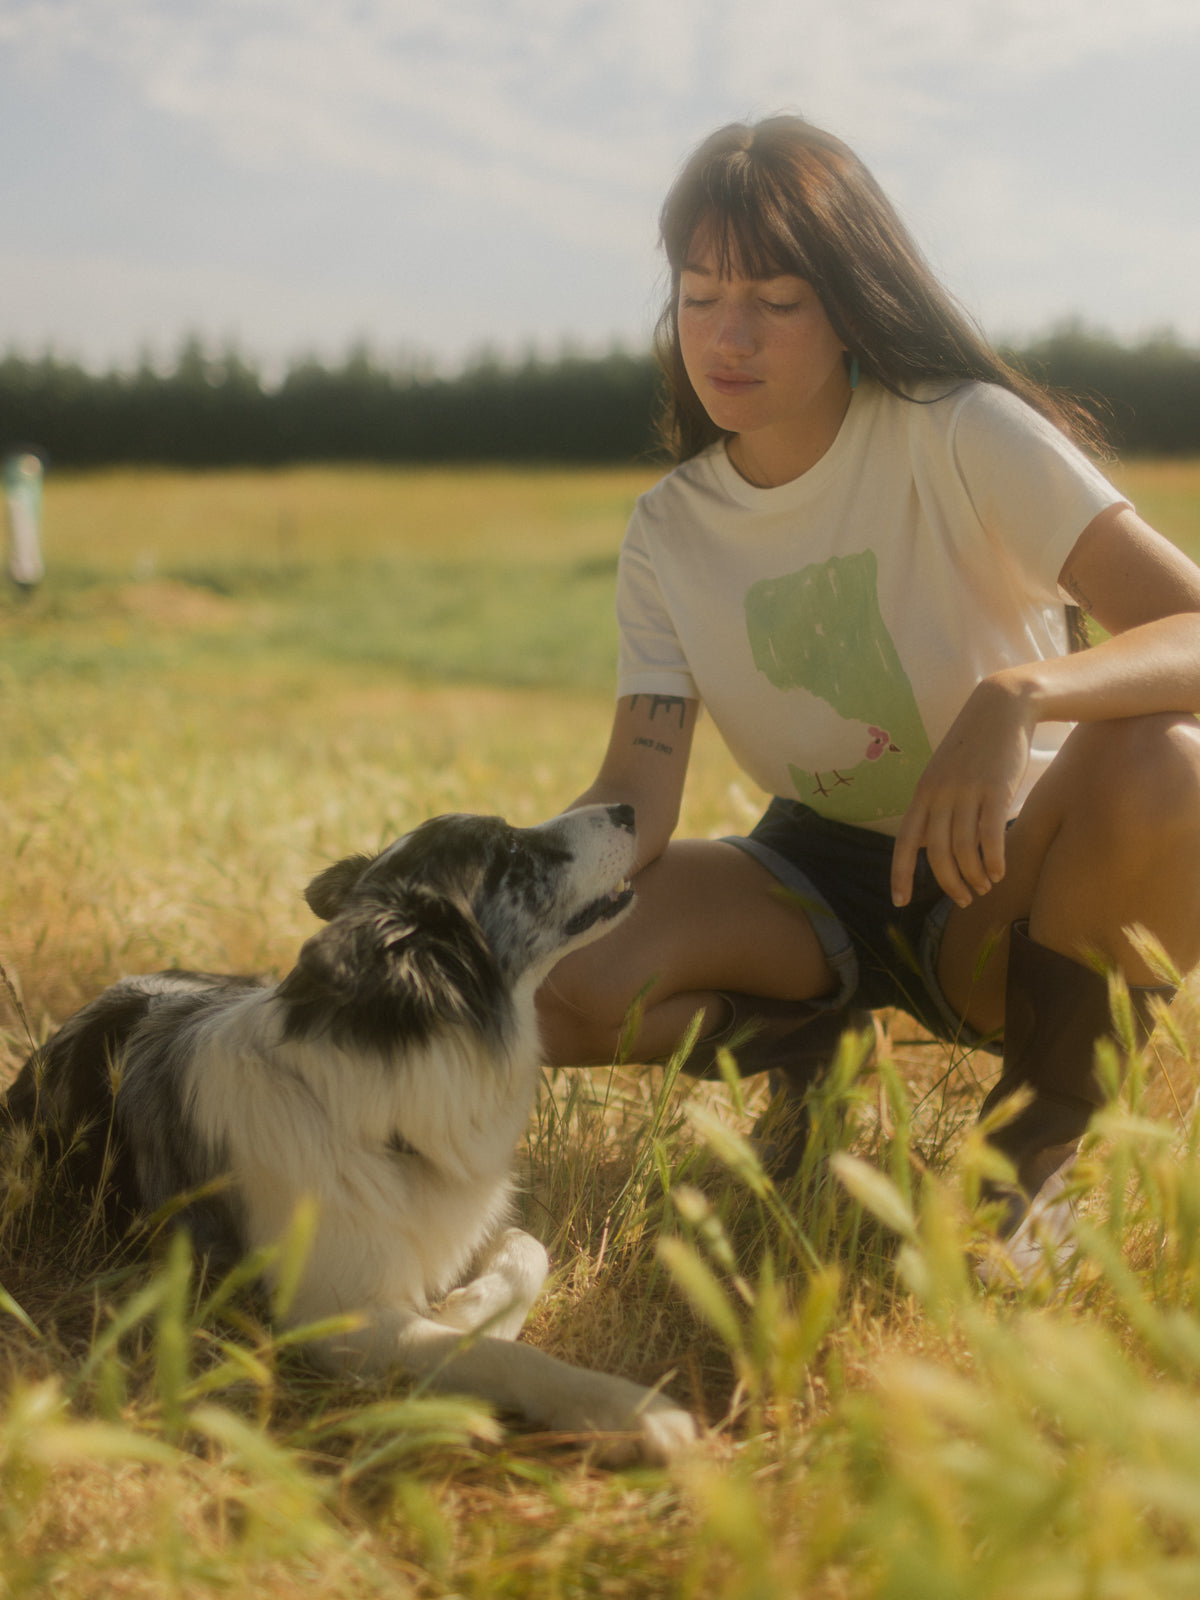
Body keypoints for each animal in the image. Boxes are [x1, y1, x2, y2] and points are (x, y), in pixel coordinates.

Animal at [2, 812, 694, 1465]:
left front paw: (470, 1312)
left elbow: (528, 1249)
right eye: (511, 851)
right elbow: (498, 1355)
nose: (630, 809)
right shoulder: (337, 1316)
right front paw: (623, 1409)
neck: (382, 1092)